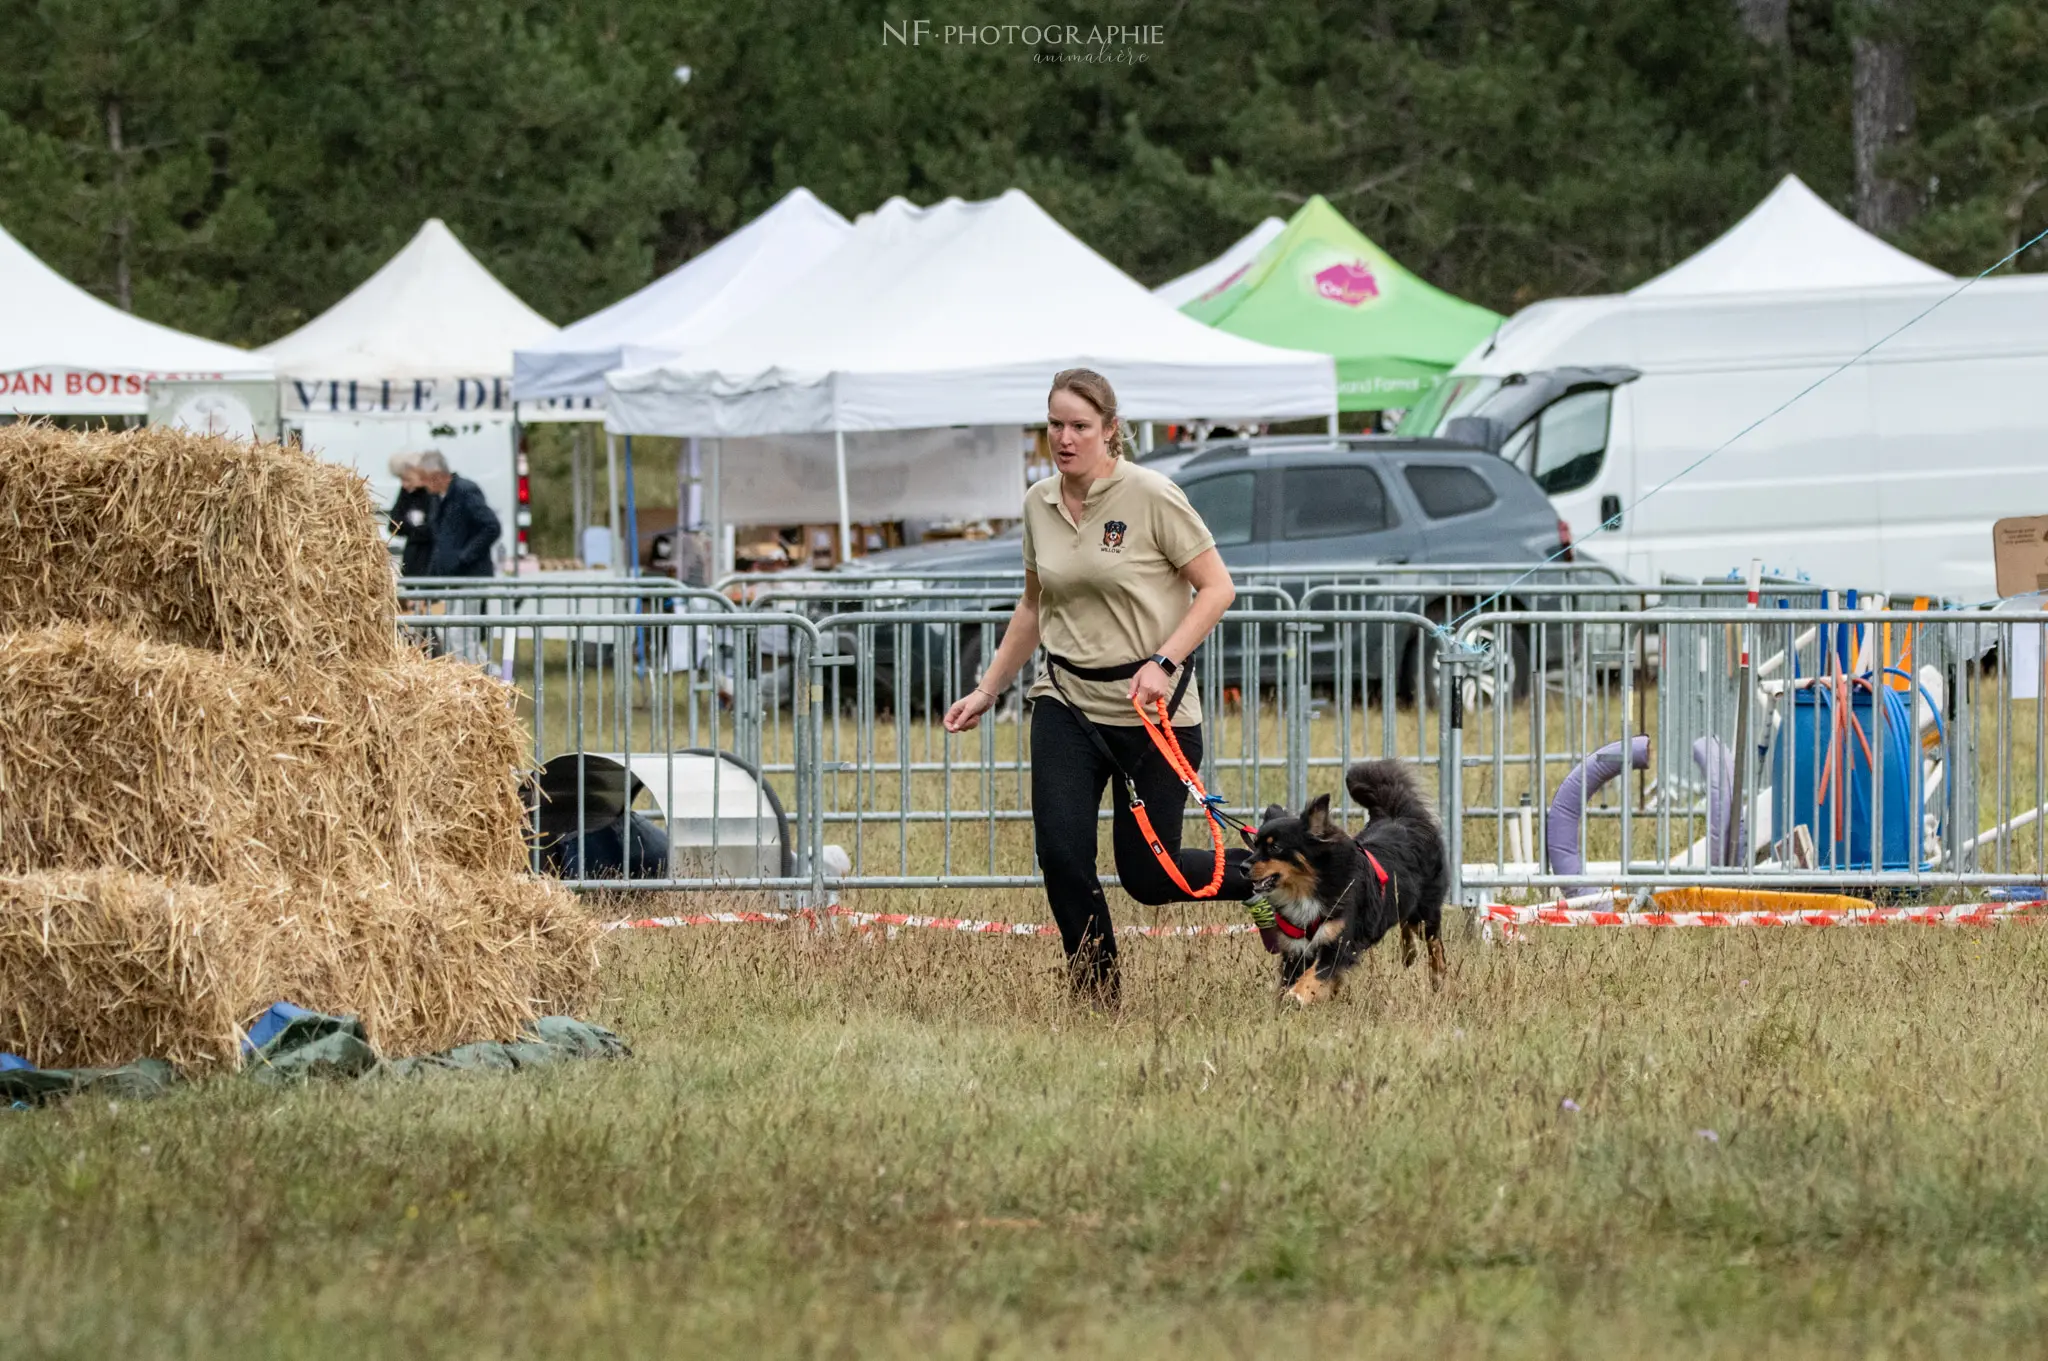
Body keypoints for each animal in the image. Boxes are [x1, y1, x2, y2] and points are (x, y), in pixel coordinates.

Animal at [1236, 757, 1449, 1002]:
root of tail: (1401, 816)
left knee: (1434, 942)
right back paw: (1410, 954)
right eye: (1256, 844)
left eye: (1275, 847)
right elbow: (1295, 978)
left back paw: (1438, 977)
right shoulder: (1296, 948)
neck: (1308, 889)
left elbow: (1314, 975)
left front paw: (1296, 996)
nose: (1242, 867)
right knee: (1406, 924)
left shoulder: (1337, 943)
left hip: (1425, 911)